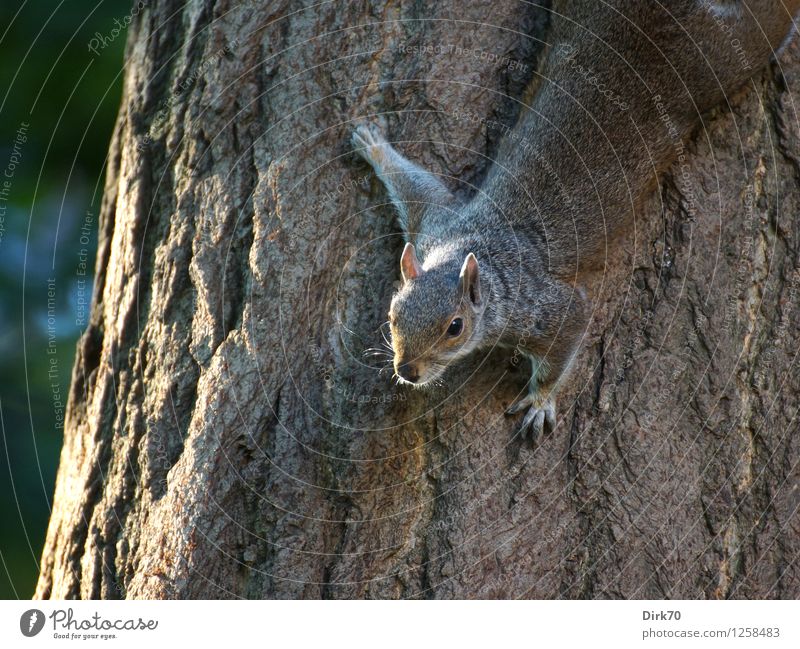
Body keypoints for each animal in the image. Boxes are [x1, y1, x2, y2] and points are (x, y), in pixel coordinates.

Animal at [352, 0, 800, 440]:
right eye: (392, 313)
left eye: (455, 327)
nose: (407, 371)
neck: (473, 250)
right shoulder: (435, 223)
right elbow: (416, 185)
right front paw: (372, 144)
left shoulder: (540, 306)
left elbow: (568, 332)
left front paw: (540, 400)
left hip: (731, 54)